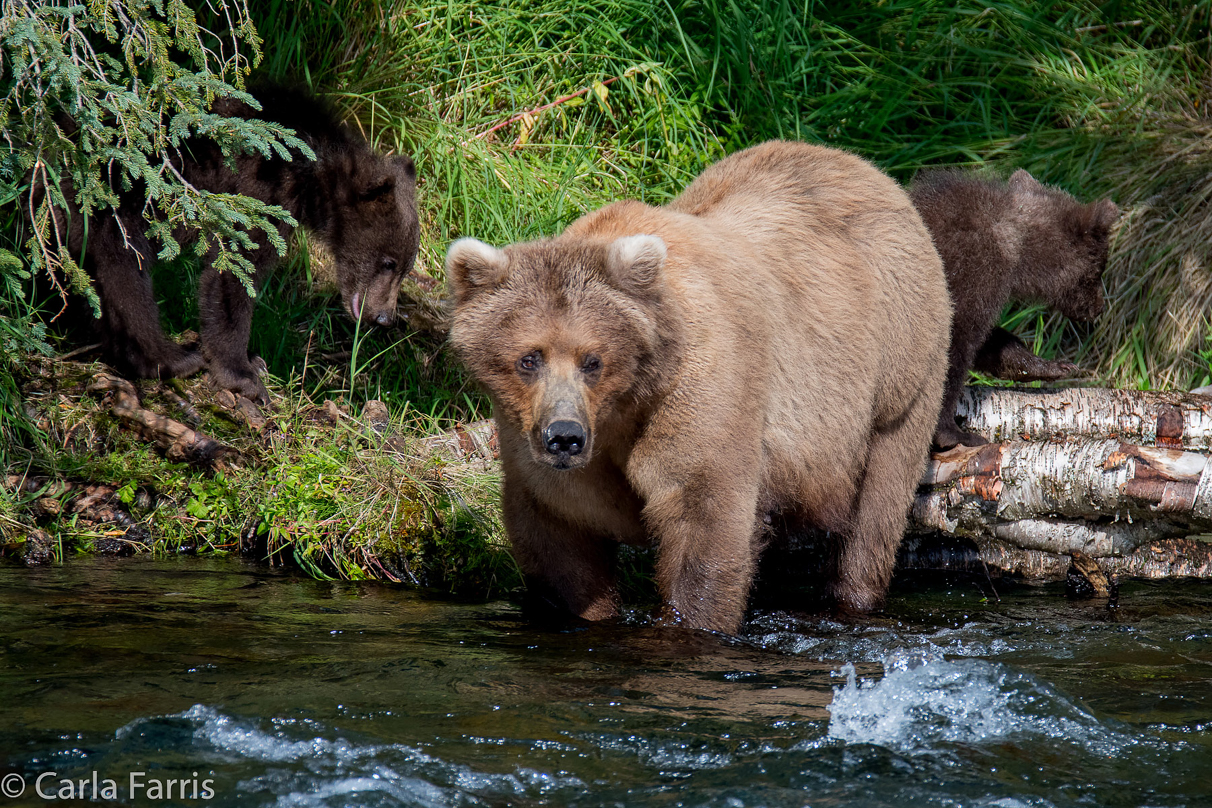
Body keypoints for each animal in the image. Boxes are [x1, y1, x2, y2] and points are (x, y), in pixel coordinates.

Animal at [450, 139, 950, 634]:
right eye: (529, 358)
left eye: (593, 360)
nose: (565, 437)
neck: (625, 405)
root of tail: (863, 166)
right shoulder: (530, 437)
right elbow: (560, 535)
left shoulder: (700, 388)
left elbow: (704, 514)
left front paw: (690, 622)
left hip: (896, 368)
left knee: (876, 509)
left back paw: (851, 597)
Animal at [911, 172, 1115, 453]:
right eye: (1098, 270)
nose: (1098, 308)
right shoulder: (968, 271)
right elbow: (954, 346)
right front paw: (953, 433)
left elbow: (992, 342)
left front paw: (1051, 366)